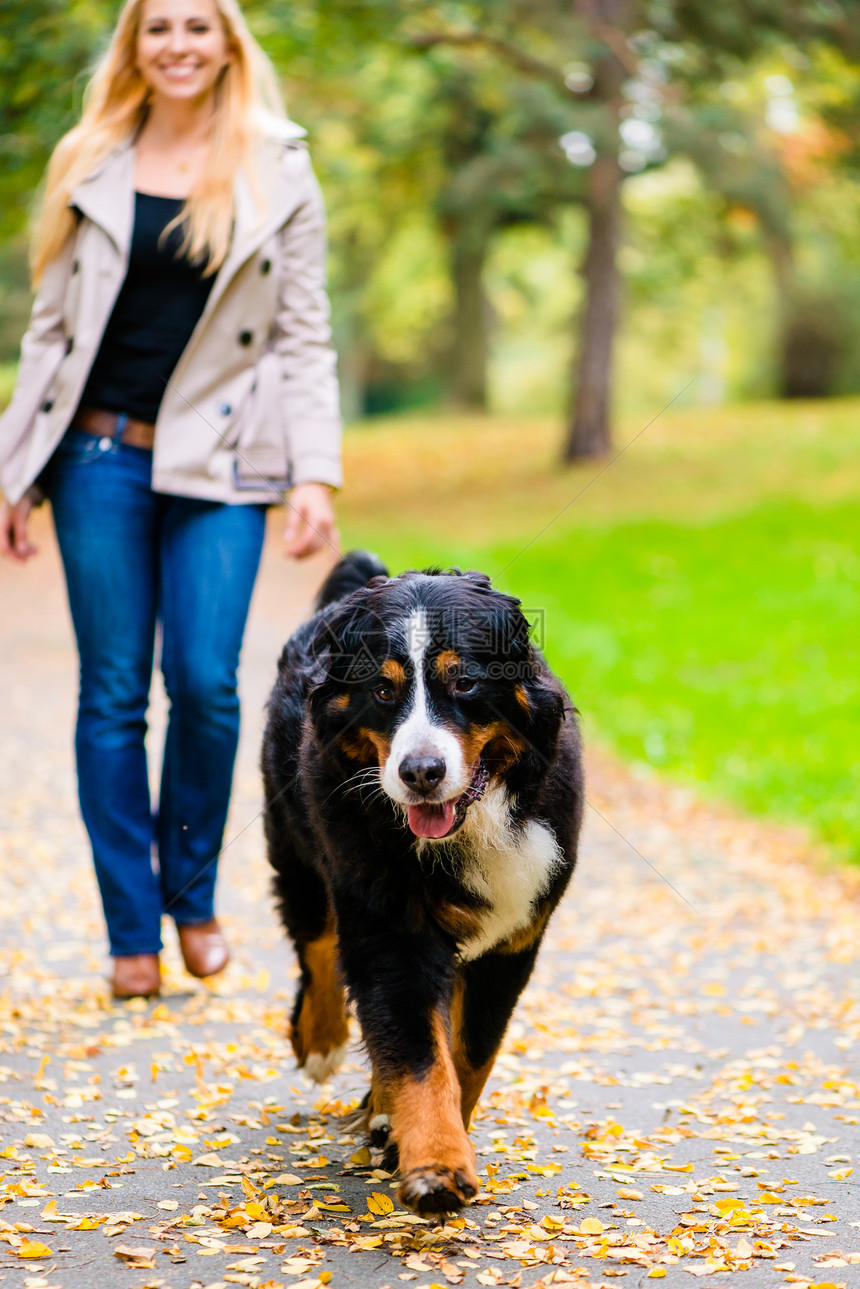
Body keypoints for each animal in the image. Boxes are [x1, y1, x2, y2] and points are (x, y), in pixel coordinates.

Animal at [263, 554, 585, 1216]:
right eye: (383, 690)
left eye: (463, 684)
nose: (420, 772)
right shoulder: (392, 930)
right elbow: (416, 1055)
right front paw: (436, 1164)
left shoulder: (512, 941)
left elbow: (468, 1055)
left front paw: (428, 1140)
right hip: (300, 851)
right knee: (320, 947)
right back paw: (324, 1042)